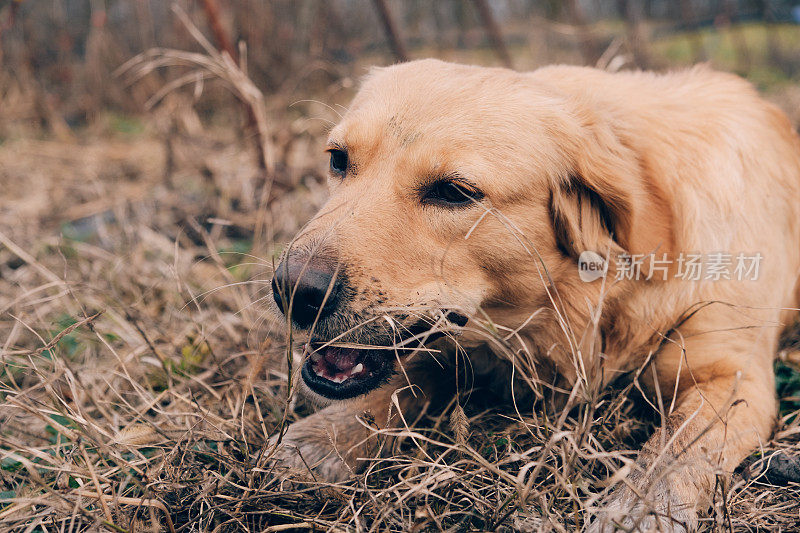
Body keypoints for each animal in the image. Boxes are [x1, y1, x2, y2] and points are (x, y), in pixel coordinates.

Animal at [268, 59, 800, 528]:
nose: (292, 290)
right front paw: (325, 435)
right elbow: (405, 376)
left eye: (454, 192)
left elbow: (674, 449)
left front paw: (642, 511)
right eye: (338, 159)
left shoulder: (732, 379)